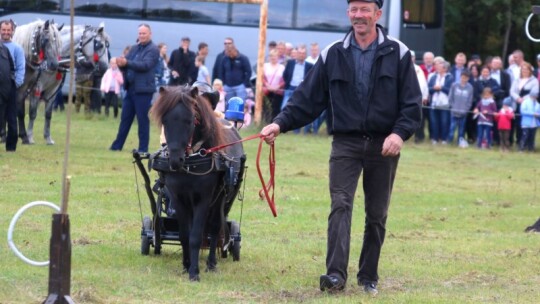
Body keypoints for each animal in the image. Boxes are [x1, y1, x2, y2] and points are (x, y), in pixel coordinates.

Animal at [151, 85, 246, 280]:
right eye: (165, 120)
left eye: (190, 121)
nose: (175, 160)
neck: (191, 161)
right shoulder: (178, 198)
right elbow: (184, 235)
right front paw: (186, 265)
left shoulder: (204, 198)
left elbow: (196, 236)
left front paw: (194, 272)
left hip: (220, 198)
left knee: (215, 228)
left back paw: (211, 263)